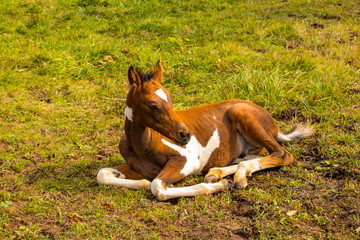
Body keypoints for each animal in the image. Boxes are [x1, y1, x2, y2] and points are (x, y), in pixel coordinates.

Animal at [97, 60, 314, 201]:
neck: (142, 145)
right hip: (248, 149)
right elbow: (102, 174)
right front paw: (137, 181)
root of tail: (271, 120)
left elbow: (157, 187)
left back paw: (234, 178)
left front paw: (219, 186)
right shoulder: (137, 167)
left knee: (282, 154)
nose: (184, 135)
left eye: (171, 98)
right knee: (251, 158)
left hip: (244, 116)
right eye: (153, 105)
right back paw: (218, 173)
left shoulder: (185, 160)